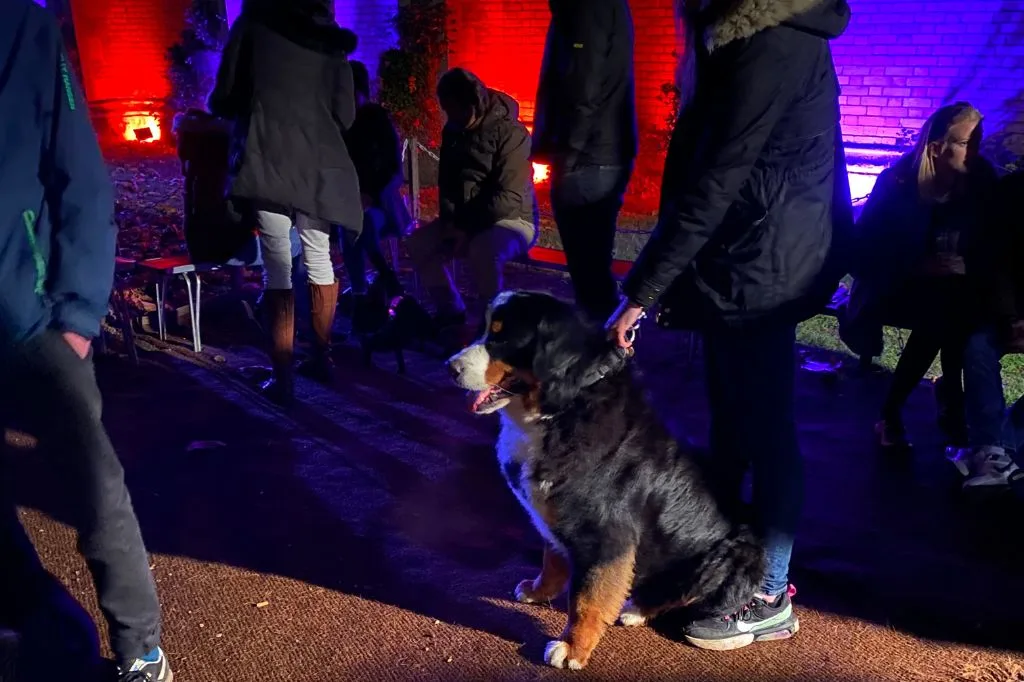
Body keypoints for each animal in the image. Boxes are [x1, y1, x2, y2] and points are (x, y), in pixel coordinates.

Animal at [444, 288, 765, 667]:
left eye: (502, 336)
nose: (450, 367)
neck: (564, 407)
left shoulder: (606, 537)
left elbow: (588, 599)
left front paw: (572, 648)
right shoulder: (557, 514)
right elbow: (552, 560)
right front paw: (538, 591)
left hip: (739, 554)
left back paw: (638, 609)